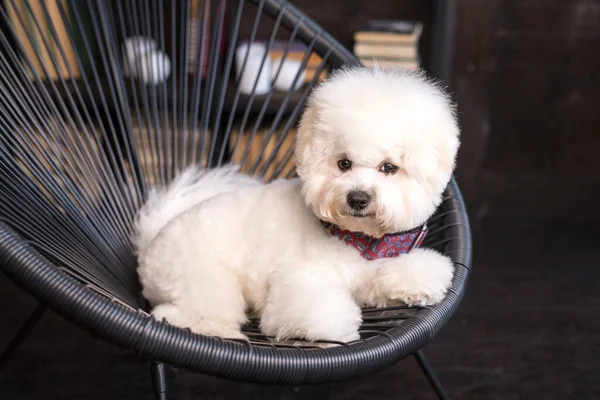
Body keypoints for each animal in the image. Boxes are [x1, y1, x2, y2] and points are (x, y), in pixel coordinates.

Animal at [135, 67, 460, 342]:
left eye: (389, 168)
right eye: (343, 163)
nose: (357, 198)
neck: (353, 241)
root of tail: (149, 243)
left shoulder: (370, 275)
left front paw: (416, 287)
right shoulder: (297, 283)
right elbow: (321, 316)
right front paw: (342, 329)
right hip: (204, 280)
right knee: (182, 313)